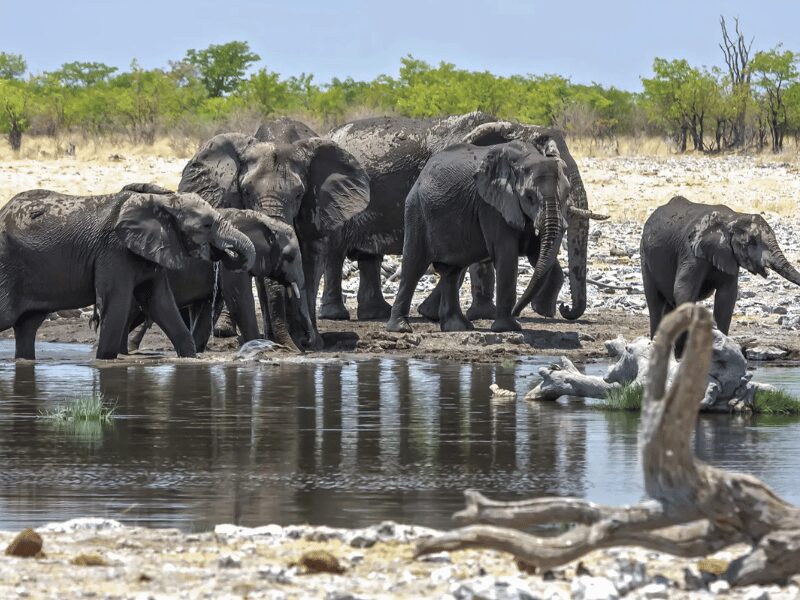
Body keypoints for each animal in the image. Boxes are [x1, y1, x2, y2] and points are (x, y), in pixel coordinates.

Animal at [0, 185, 255, 360]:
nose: (225, 254)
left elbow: (160, 303)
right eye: (207, 225)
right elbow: (117, 304)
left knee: (27, 326)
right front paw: (103, 362)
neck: (162, 200)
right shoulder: (113, 250)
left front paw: (190, 359)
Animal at [127, 208, 307, 353]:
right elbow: (240, 302)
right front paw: (257, 344)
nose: (299, 352)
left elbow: (210, 307)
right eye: (290, 256)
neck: (262, 219)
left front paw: (198, 350)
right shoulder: (232, 257)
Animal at [177, 133, 370, 351]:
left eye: (298, 194)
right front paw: (276, 340)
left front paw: (311, 343)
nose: (304, 343)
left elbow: (310, 266)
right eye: (246, 192)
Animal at [385, 140, 571, 334]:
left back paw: (458, 328)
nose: (563, 307)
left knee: (452, 270)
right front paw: (507, 328)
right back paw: (400, 328)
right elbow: (506, 256)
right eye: (529, 197)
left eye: (567, 195)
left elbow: (538, 255)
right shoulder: (491, 206)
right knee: (414, 267)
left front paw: (540, 310)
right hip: (416, 210)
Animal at [641, 195, 800, 337]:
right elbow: (683, 291)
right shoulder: (690, 253)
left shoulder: (729, 257)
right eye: (752, 242)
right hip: (644, 255)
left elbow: (727, 297)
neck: (733, 217)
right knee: (655, 304)